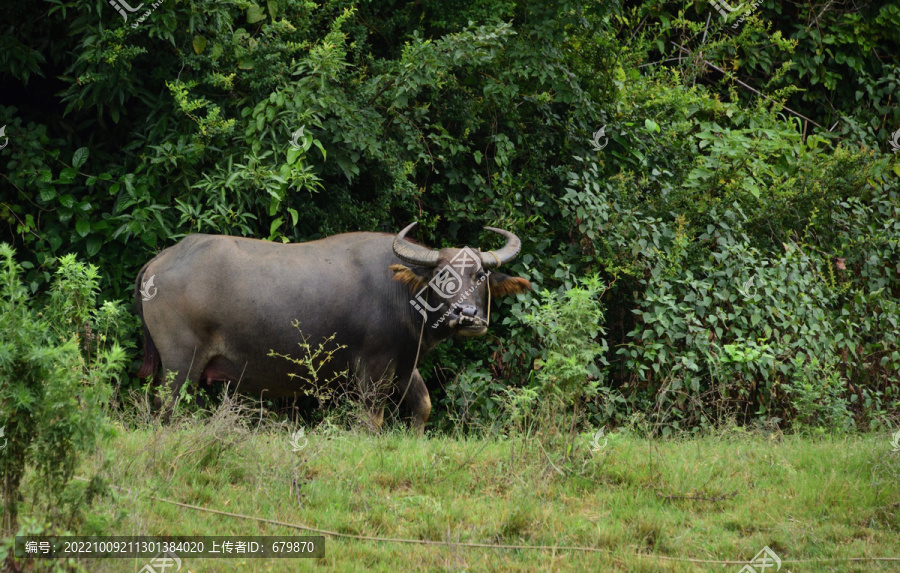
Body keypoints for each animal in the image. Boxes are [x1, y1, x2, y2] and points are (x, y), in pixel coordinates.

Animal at [134, 223, 528, 434]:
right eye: (441, 276)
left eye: (480, 275)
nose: (468, 314)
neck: (401, 295)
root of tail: (160, 260)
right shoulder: (374, 368)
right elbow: (372, 418)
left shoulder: (404, 364)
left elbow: (423, 404)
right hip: (181, 363)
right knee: (167, 406)